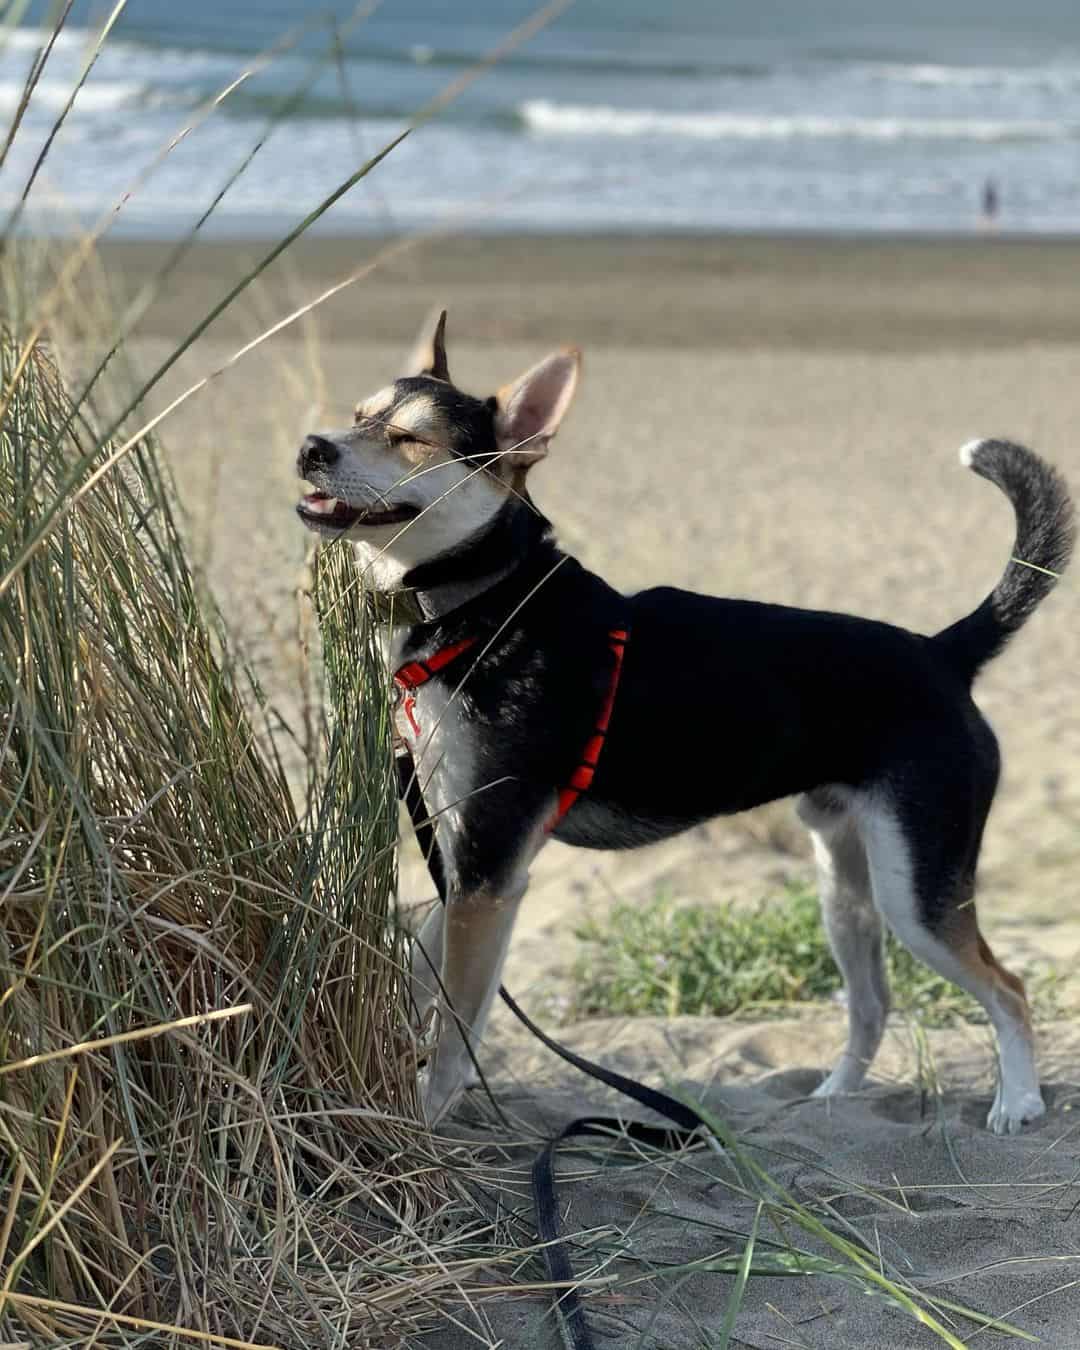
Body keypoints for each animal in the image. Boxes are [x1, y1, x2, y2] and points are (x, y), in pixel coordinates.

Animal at [292, 310, 1069, 1123]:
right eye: (357, 416)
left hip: (914, 891)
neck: (485, 600)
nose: (312, 448)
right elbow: (422, 962)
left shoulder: (489, 870)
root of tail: (941, 653)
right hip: (847, 881)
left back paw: (1017, 1102)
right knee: (873, 1002)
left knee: (1008, 991)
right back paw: (832, 1100)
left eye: (408, 438)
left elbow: (455, 1031)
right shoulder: (466, 857)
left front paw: (421, 1117)